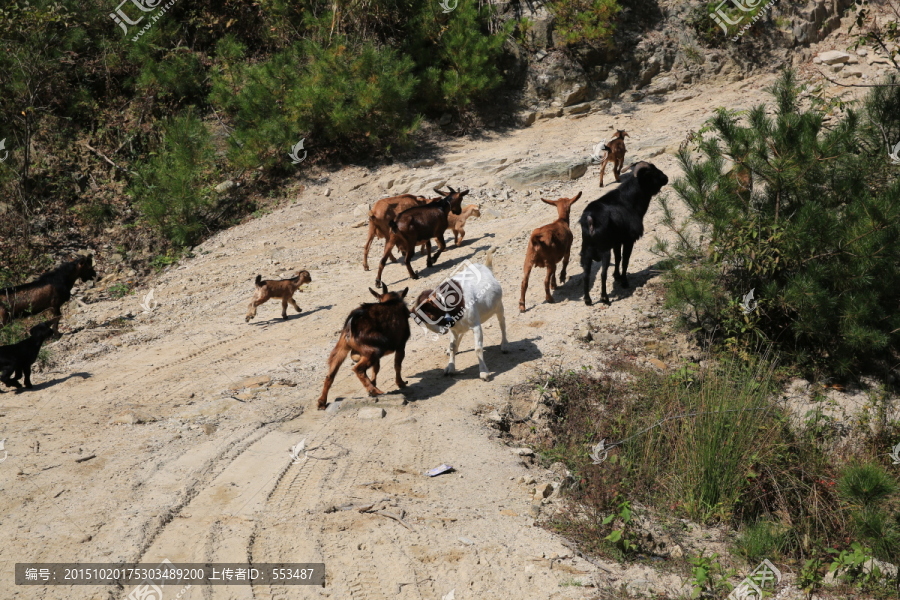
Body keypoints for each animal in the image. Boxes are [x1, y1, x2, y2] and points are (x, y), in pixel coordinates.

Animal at [414, 247, 510, 380]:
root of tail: (486, 267)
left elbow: (478, 349)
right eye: (427, 318)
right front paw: (450, 367)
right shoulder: (454, 328)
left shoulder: (476, 326)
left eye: (433, 314)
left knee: (502, 323)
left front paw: (484, 372)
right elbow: (452, 347)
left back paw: (504, 345)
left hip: (498, 306)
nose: (447, 324)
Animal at [584, 162, 668, 304]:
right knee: (603, 273)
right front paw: (624, 281)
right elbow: (625, 260)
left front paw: (617, 276)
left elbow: (618, 258)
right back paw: (604, 297)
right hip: (604, 250)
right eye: (651, 172)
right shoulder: (629, 240)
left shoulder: (617, 241)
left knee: (586, 272)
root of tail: (590, 219)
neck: (630, 201)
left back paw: (587, 300)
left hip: (586, 250)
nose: (666, 178)